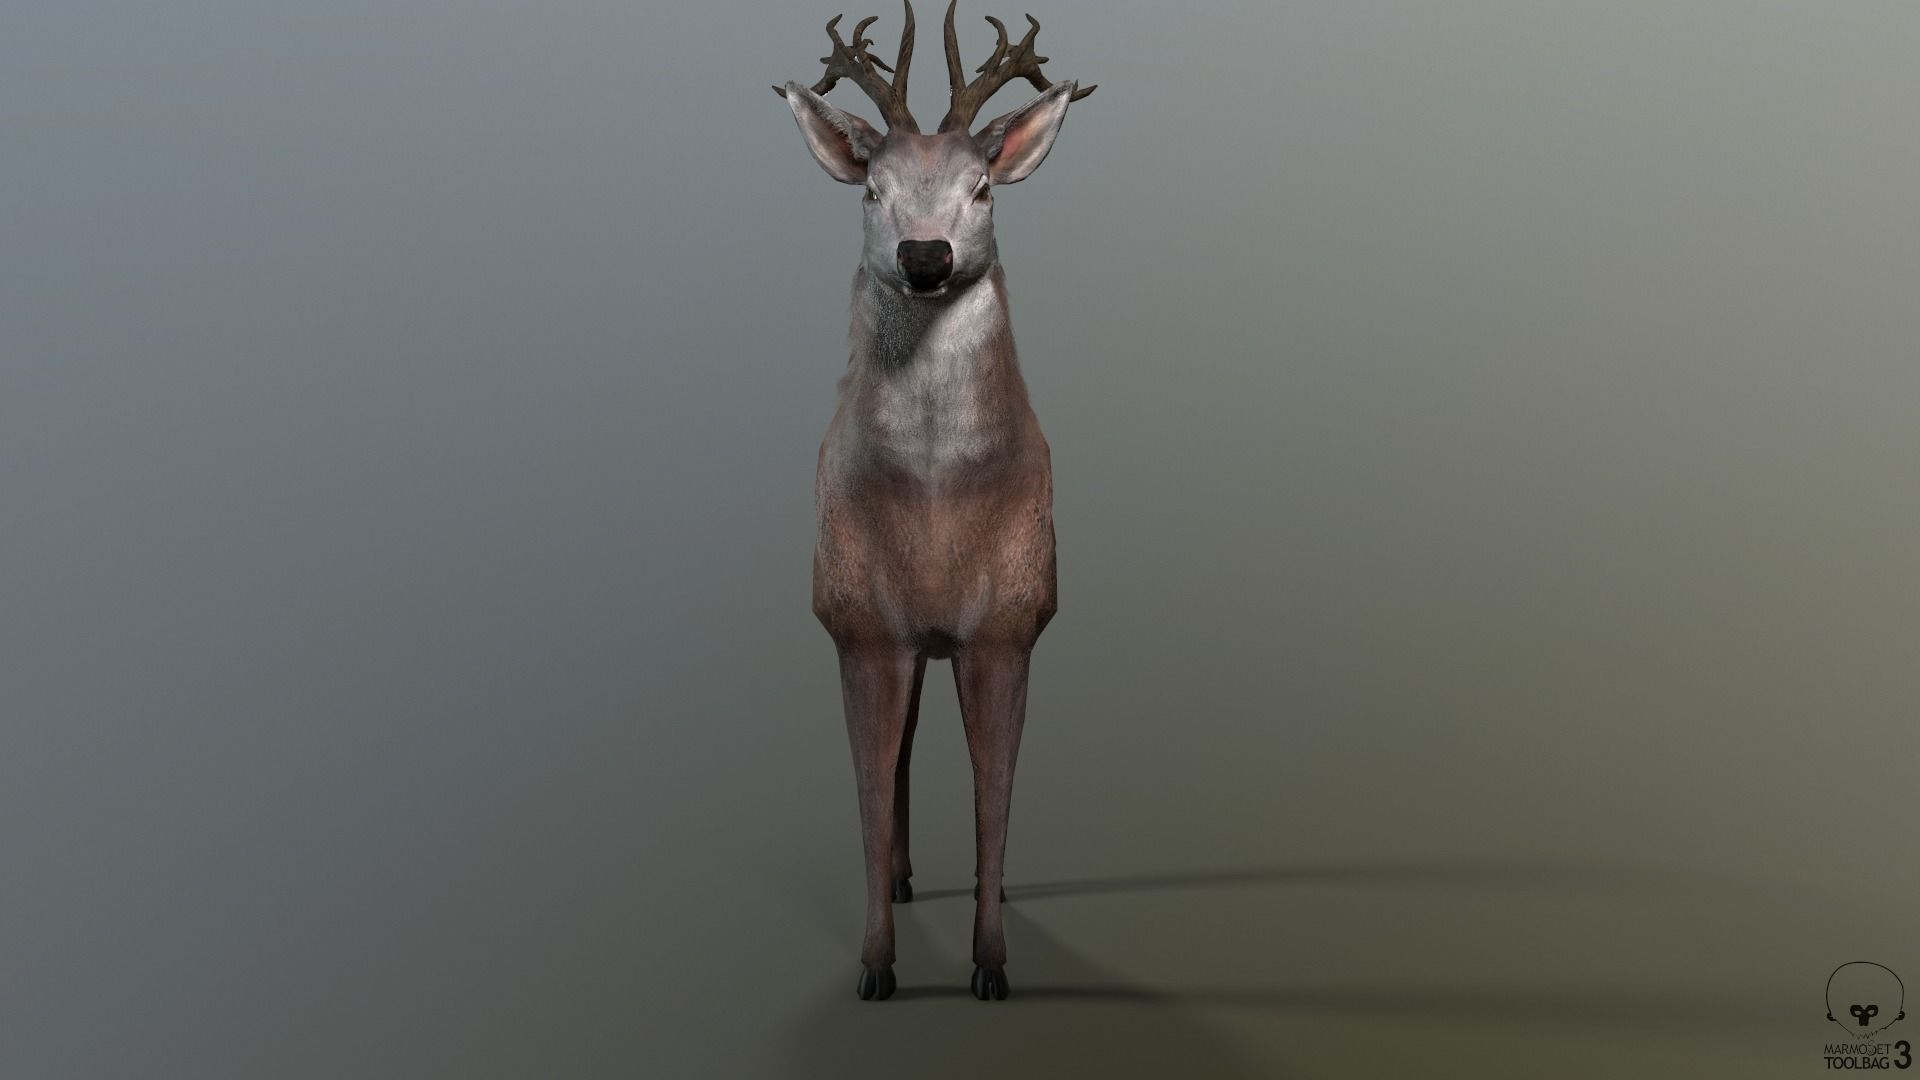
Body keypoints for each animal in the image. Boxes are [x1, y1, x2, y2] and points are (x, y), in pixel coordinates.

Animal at [773, 0, 1095, 1002]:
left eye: (984, 187)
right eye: (870, 191)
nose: (925, 256)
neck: (936, 511)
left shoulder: (1012, 628)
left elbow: (995, 796)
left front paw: (992, 963)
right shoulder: (858, 628)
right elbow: (872, 794)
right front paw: (876, 965)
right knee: (905, 750)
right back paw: (906, 880)